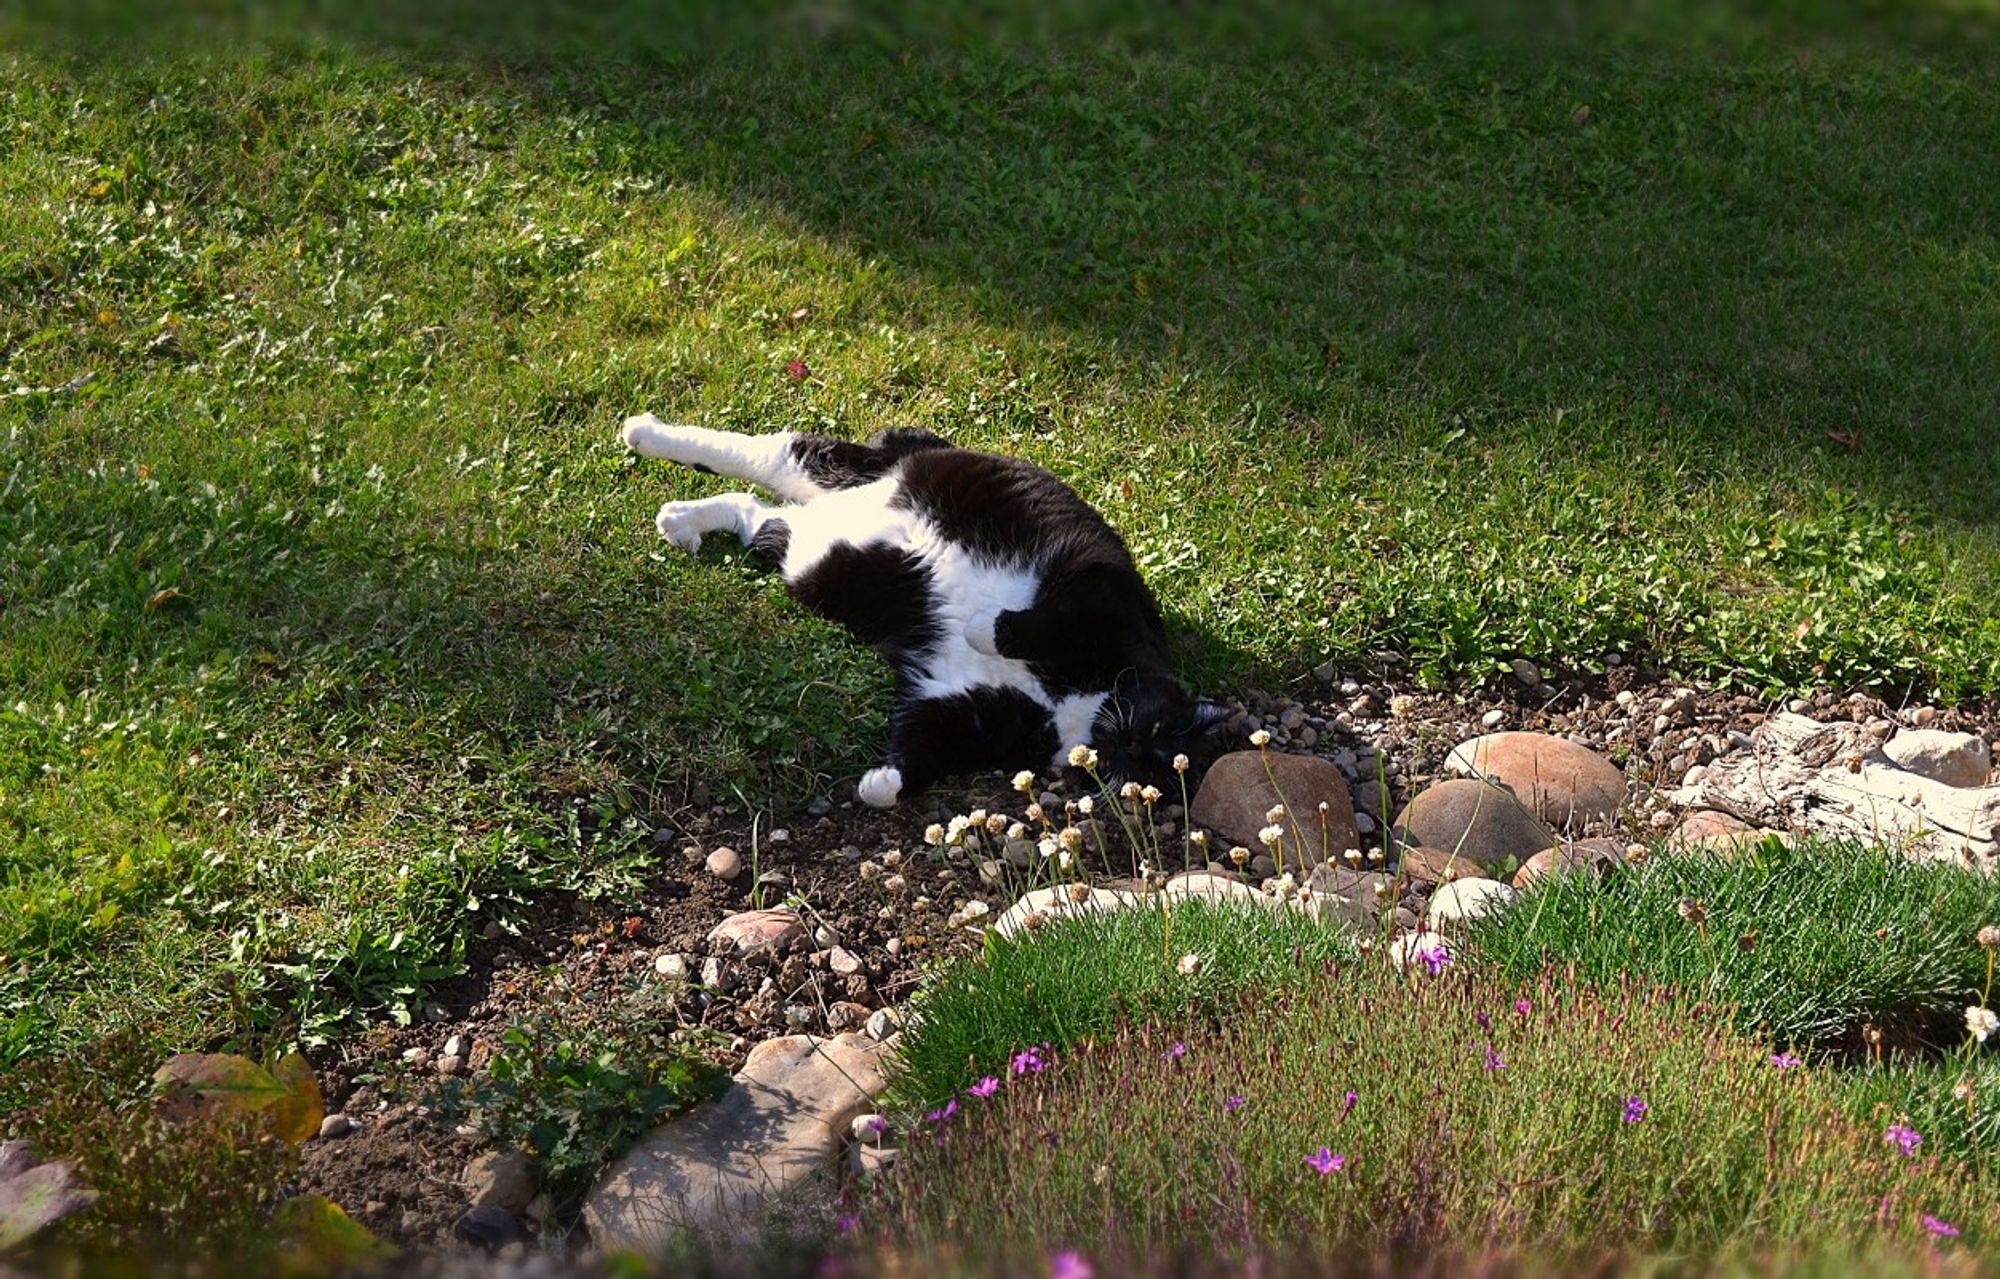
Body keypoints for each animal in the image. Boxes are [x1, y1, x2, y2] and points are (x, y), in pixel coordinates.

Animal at [620, 415, 1232, 803]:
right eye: (1157, 727)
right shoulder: (1104, 592)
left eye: (1147, 768)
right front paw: (983, 627)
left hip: (812, 561)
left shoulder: (960, 702)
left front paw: (880, 785)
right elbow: (1035, 623)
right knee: (771, 452)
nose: (1130, 744)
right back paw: (644, 431)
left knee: (758, 510)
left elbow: (922, 747)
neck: (1078, 706)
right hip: (860, 471)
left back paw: (682, 519)